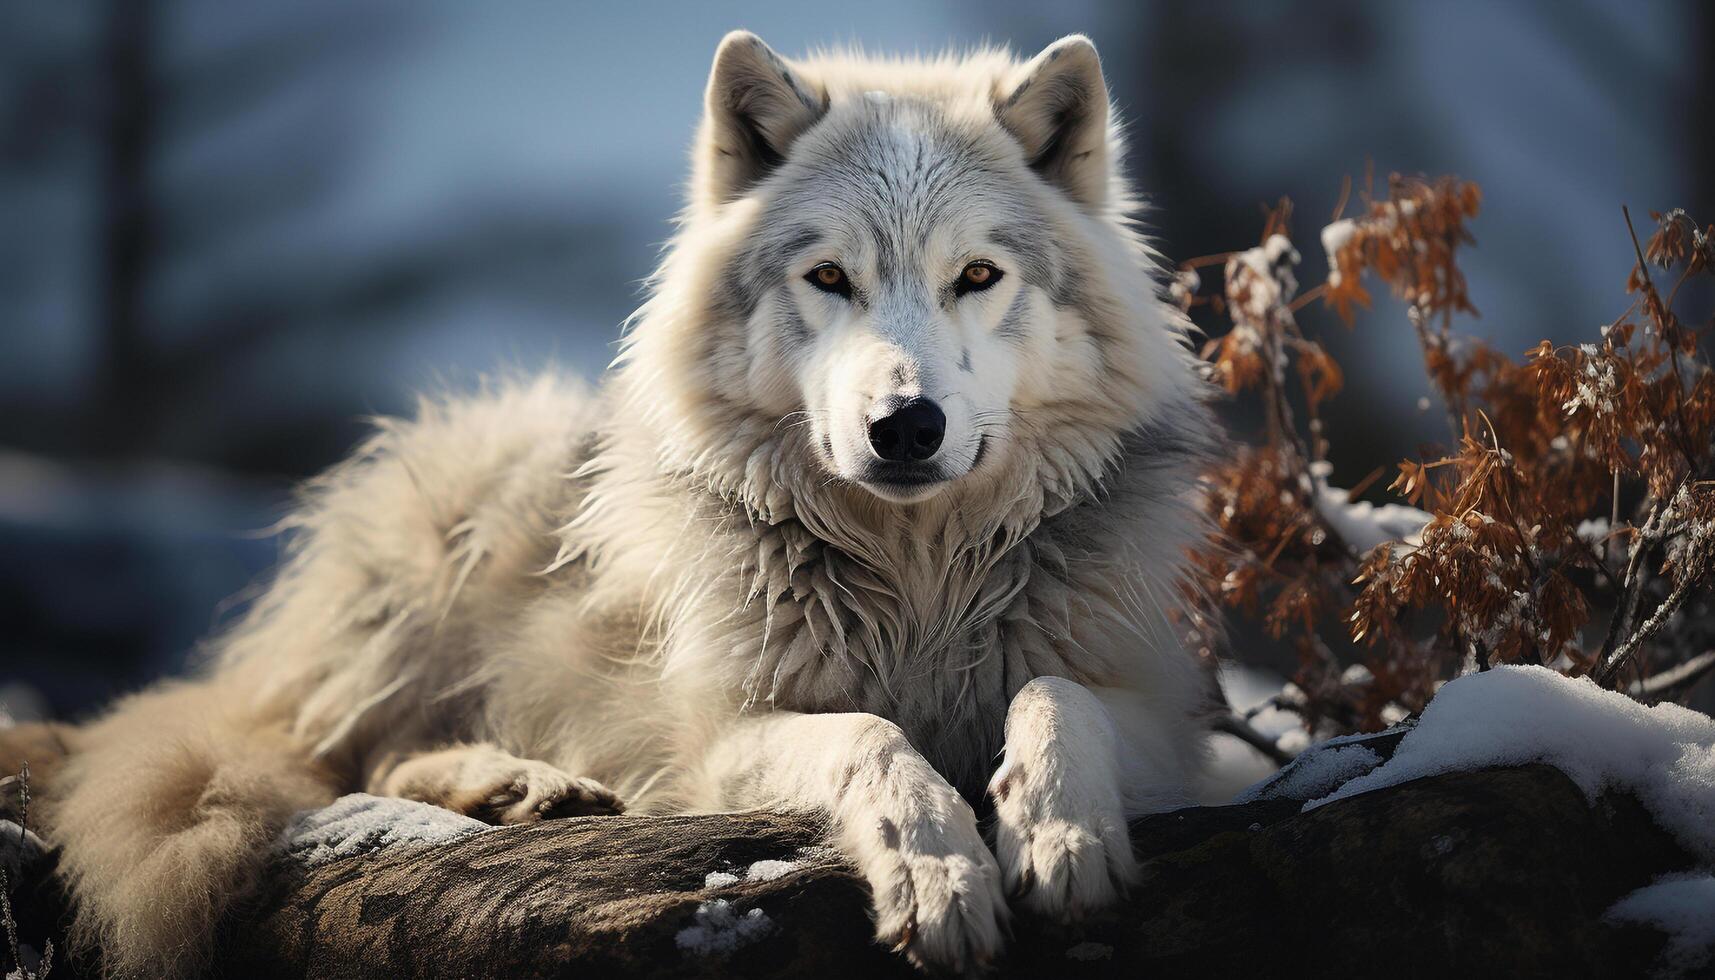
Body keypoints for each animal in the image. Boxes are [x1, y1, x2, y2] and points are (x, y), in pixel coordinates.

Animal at [4, 32, 1221, 976]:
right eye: (830, 277)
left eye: (976, 276)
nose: (904, 427)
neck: (916, 570)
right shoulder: (716, 736)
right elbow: (873, 739)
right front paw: (938, 875)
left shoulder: (1160, 713)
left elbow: (1057, 695)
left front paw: (1058, 833)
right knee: (344, 765)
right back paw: (518, 783)